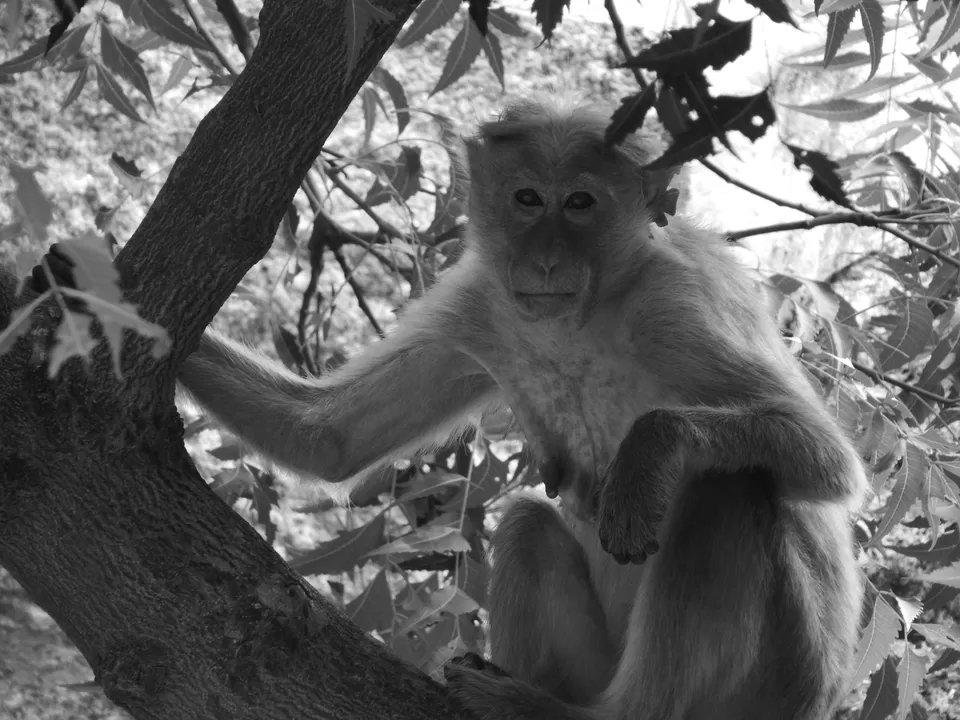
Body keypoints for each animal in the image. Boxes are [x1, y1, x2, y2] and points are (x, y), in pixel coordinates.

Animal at [29, 99, 866, 720]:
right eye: (527, 199)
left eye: (580, 203)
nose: (545, 260)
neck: (584, 314)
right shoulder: (481, 304)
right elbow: (327, 438)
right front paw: (79, 281)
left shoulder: (676, 306)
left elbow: (828, 463)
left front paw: (645, 458)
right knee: (529, 521)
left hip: (775, 684)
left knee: (730, 487)